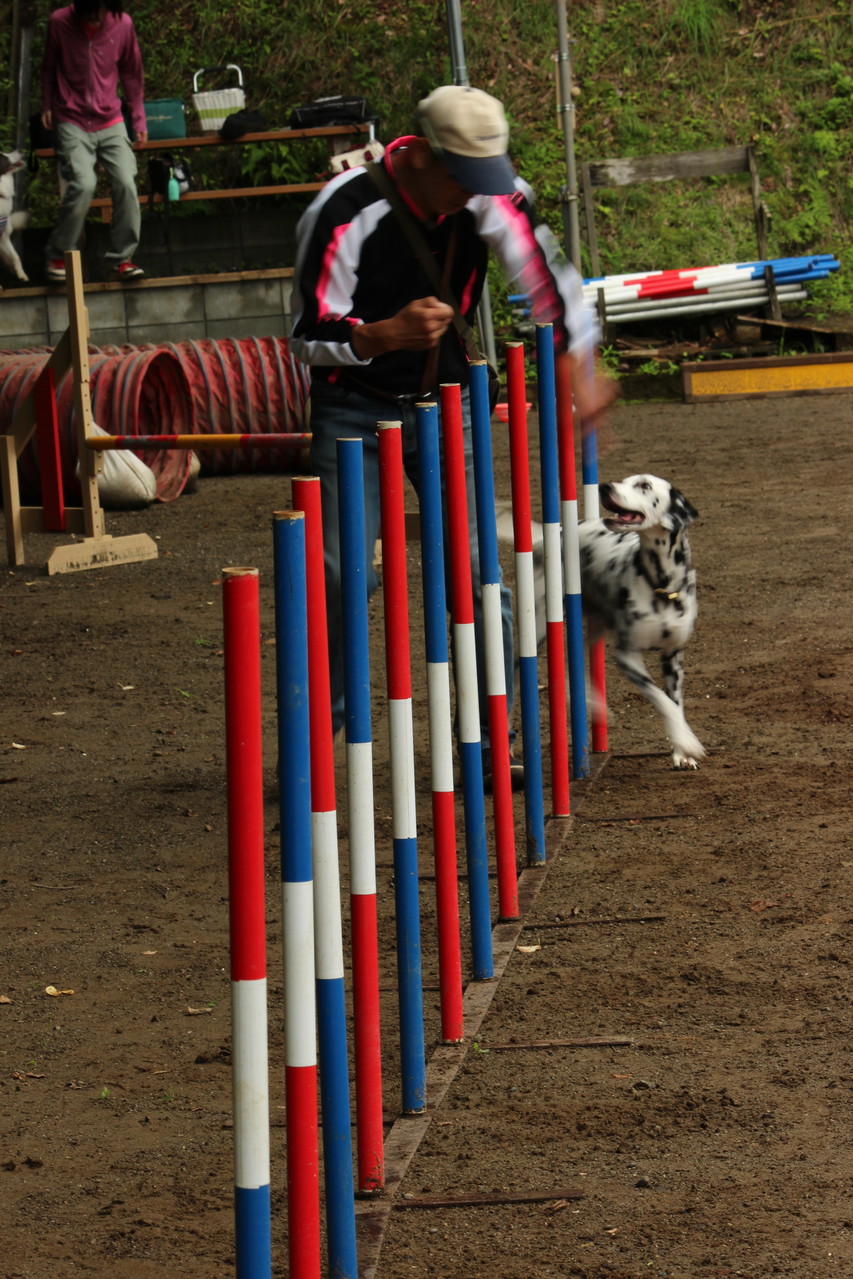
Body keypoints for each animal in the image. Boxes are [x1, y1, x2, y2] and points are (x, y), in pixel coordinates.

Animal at [580, 473, 705, 762]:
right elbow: (663, 701)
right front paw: (689, 741)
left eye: (644, 485)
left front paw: (682, 752)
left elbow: (675, 704)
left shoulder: (673, 657)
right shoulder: (627, 657)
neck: (662, 585)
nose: (604, 487)